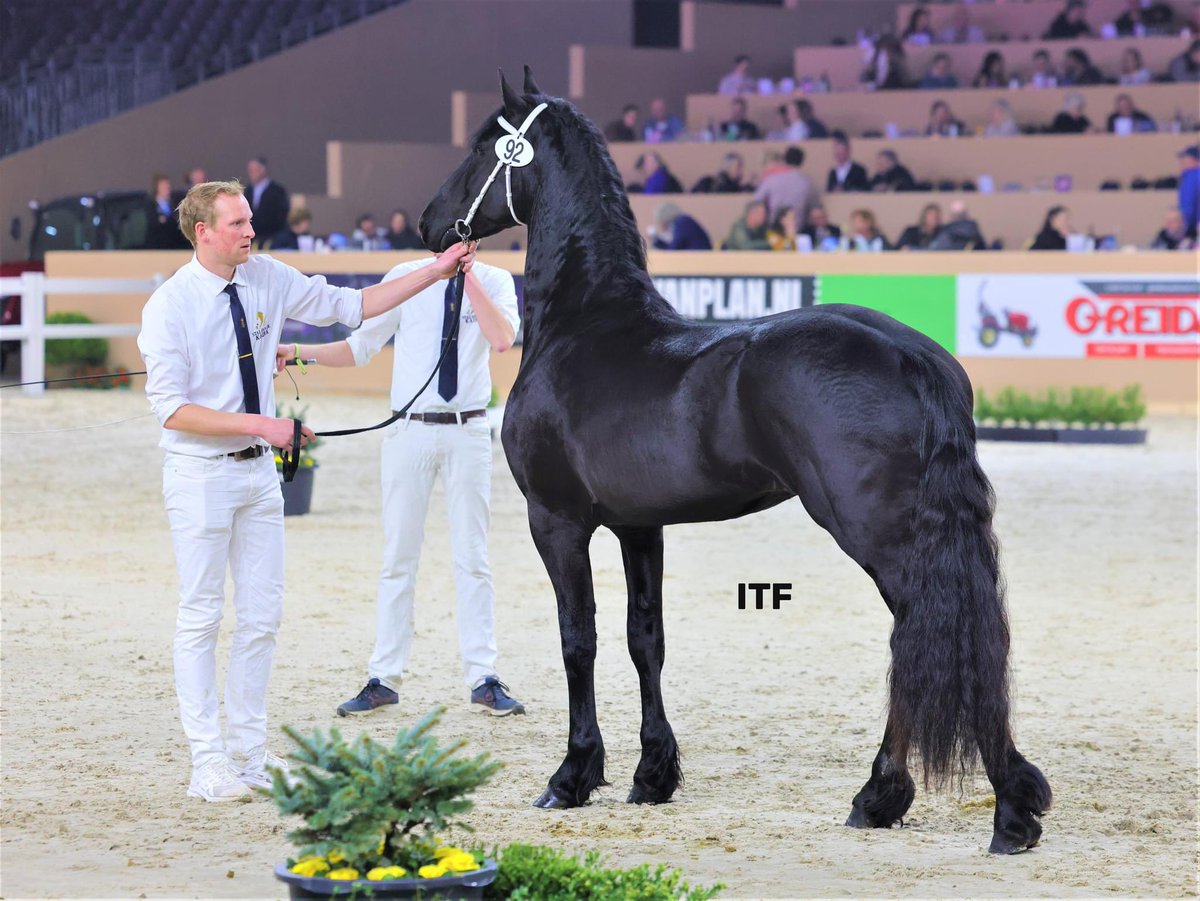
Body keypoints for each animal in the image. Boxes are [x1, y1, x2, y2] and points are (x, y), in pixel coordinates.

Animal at [419, 68, 1051, 854]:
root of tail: (910, 354)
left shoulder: (557, 522)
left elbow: (579, 640)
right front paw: (652, 776)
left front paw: (572, 776)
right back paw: (950, 799)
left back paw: (943, 803)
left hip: (877, 533)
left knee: (925, 632)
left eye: (483, 145)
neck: (584, 323)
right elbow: (645, 638)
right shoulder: (639, 526)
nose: (428, 225)